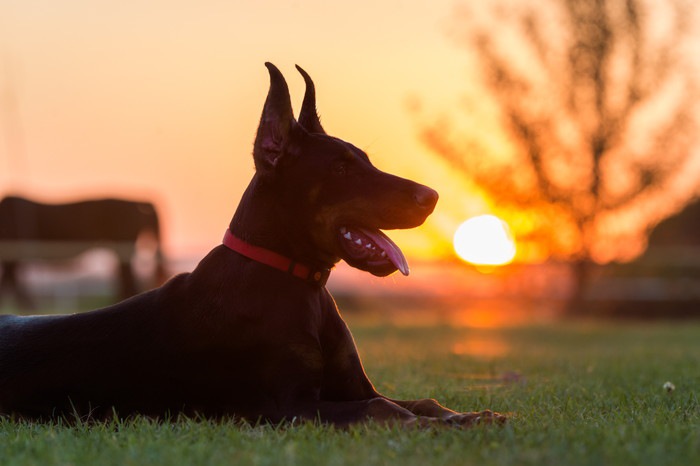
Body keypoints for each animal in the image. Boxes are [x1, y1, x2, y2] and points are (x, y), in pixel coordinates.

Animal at [0, 63, 504, 428]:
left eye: (365, 159)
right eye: (341, 168)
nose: (432, 197)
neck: (297, 280)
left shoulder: (354, 387)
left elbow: (421, 400)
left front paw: (473, 415)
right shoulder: (286, 407)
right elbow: (385, 410)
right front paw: (446, 427)